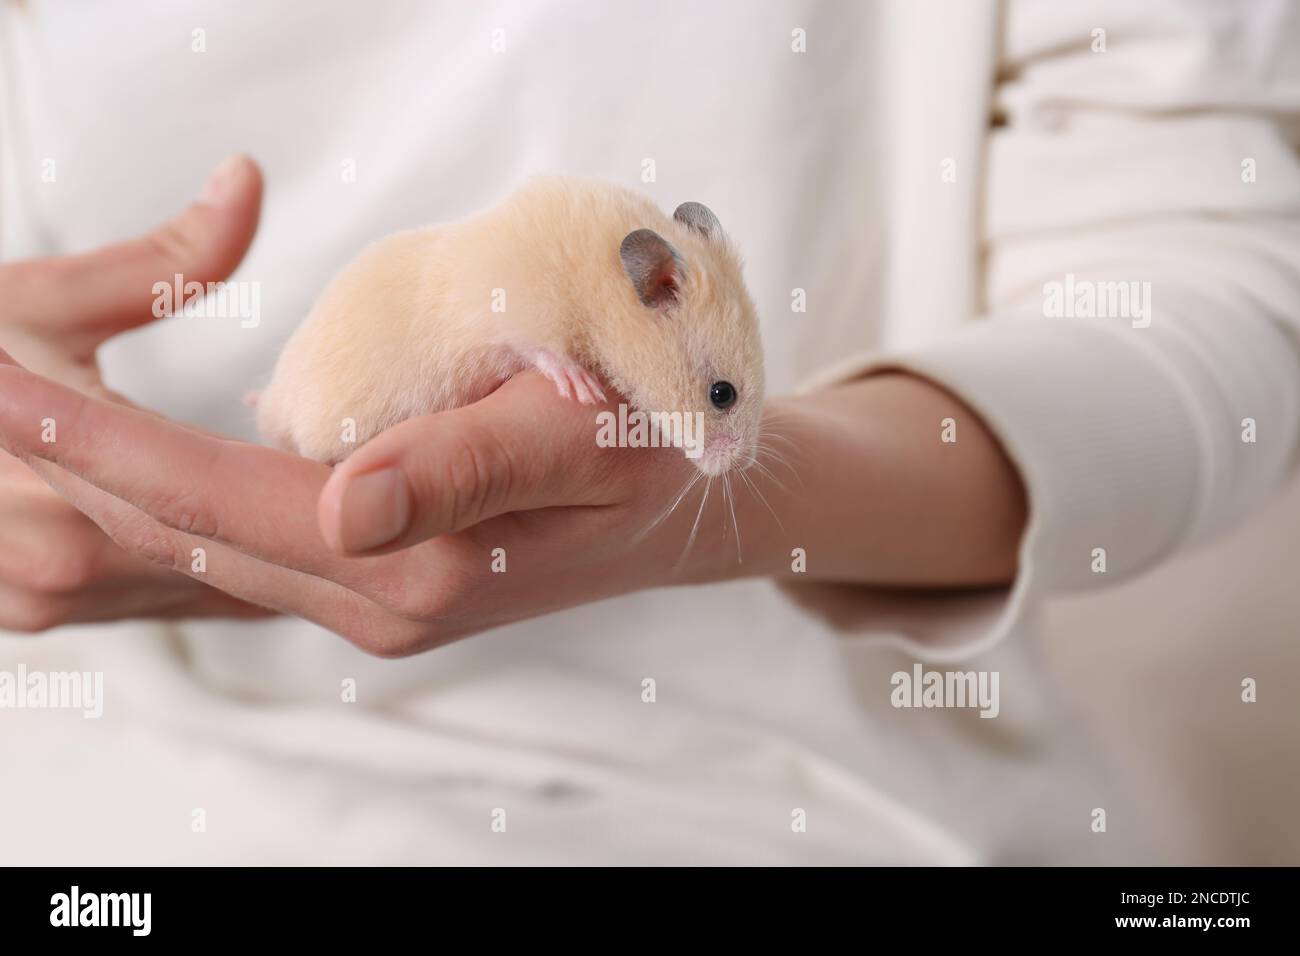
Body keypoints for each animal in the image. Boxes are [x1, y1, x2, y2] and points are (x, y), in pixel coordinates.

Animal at [252, 175, 759, 476]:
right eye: (722, 394)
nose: (740, 466)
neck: (596, 280)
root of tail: (271, 401)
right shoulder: (510, 308)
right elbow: (536, 346)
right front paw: (581, 387)